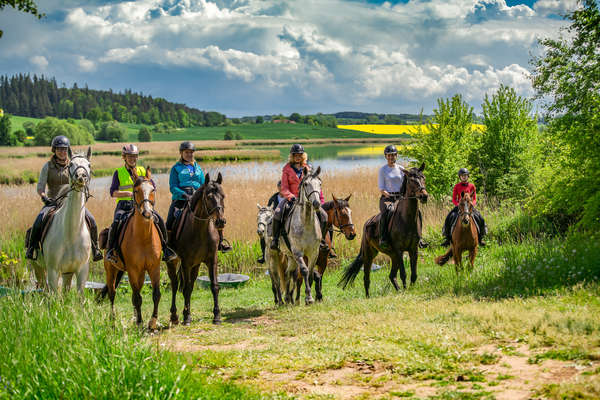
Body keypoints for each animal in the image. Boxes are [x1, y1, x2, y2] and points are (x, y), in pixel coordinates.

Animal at [103, 167, 163, 330]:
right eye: (136, 190)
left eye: (153, 189)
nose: (147, 213)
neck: (144, 237)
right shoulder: (133, 270)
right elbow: (137, 297)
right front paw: (140, 322)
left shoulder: (154, 267)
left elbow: (156, 294)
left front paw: (152, 321)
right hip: (111, 271)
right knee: (112, 293)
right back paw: (113, 320)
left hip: (141, 274)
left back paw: (135, 316)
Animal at [166, 172, 225, 324]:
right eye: (208, 197)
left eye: (223, 196)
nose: (220, 221)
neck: (200, 229)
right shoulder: (186, 263)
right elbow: (185, 288)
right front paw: (186, 317)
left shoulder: (212, 260)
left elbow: (214, 286)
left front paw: (217, 315)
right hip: (173, 262)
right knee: (175, 284)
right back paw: (174, 316)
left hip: (196, 265)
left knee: (190, 284)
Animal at [340, 162, 428, 296]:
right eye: (412, 180)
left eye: (423, 178)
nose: (424, 196)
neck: (406, 219)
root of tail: (367, 223)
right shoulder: (399, 250)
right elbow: (403, 273)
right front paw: (406, 291)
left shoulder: (413, 249)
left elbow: (414, 274)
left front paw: (410, 289)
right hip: (369, 254)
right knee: (366, 277)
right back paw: (368, 297)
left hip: (392, 255)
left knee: (392, 276)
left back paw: (398, 290)